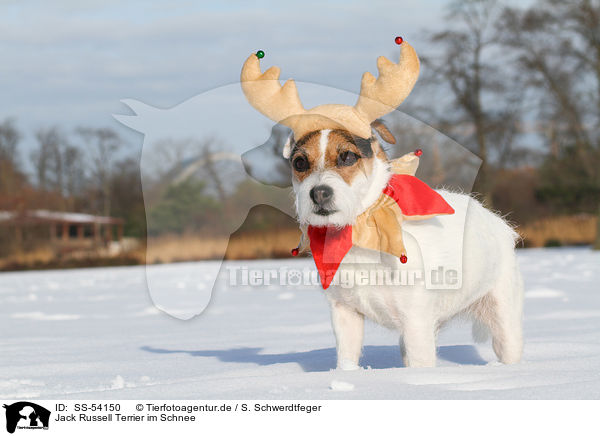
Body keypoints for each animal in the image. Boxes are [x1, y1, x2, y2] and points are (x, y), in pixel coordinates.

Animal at [284, 124, 524, 370]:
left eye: (348, 157)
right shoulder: (345, 314)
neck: (362, 230)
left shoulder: (416, 322)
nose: (319, 193)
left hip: (503, 320)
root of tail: (496, 219)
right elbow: (346, 360)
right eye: (300, 163)